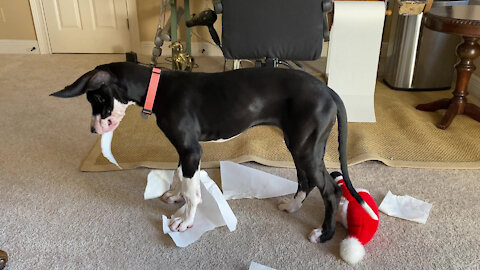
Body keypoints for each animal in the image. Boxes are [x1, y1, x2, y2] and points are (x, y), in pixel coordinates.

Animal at [51, 61, 376, 243]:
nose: (93, 131)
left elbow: (192, 190)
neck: (159, 87)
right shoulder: (184, 150)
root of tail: (327, 89)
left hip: (304, 148)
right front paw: (174, 195)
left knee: (331, 190)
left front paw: (185, 221)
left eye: (96, 99)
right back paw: (293, 206)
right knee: (306, 180)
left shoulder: (190, 149)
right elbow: (180, 175)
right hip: (299, 145)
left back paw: (324, 234)